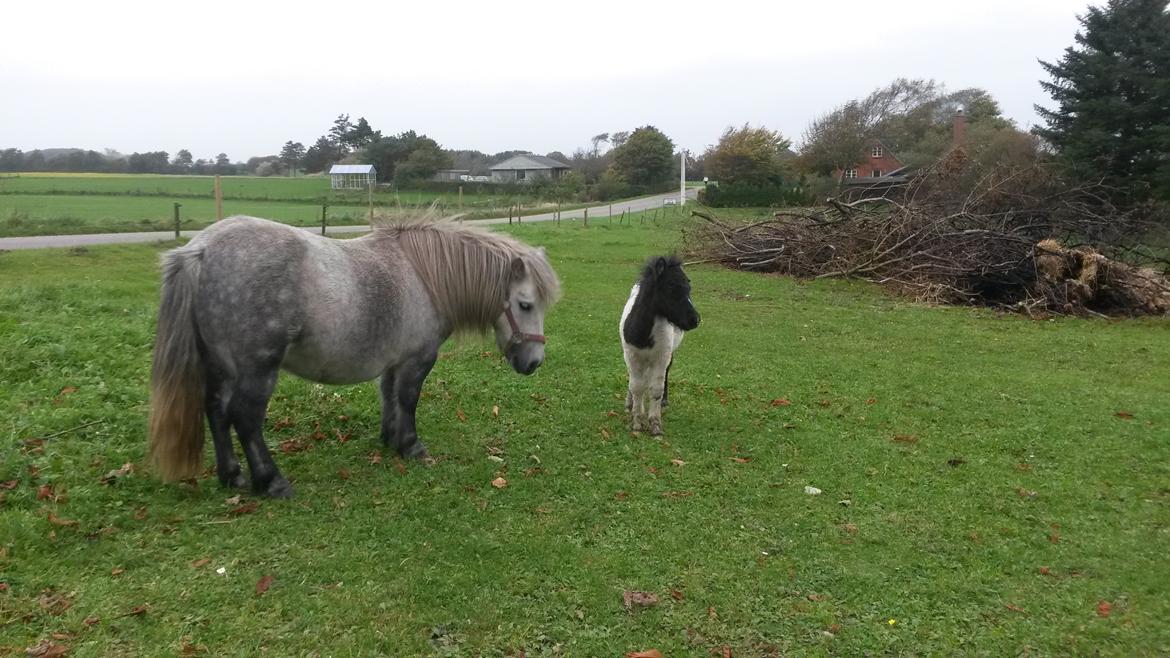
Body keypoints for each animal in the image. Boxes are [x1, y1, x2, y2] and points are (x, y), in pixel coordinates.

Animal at [147, 213, 561, 494]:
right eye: (525, 304)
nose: (533, 363)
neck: (425, 275)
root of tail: (200, 249)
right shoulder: (418, 359)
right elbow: (408, 399)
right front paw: (412, 447)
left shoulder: (395, 360)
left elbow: (389, 397)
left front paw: (391, 439)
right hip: (257, 369)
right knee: (245, 419)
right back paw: (272, 482)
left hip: (221, 366)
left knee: (216, 412)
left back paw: (232, 476)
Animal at [617, 256, 697, 435]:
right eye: (671, 287)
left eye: (689, 288)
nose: (695, 320)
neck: (643, 334)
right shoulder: (631, 355)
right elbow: (636, 386)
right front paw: (637, 421)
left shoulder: (661, 357)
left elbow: (655, 390)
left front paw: (655, 424)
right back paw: (630, 403)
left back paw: (662, 402)